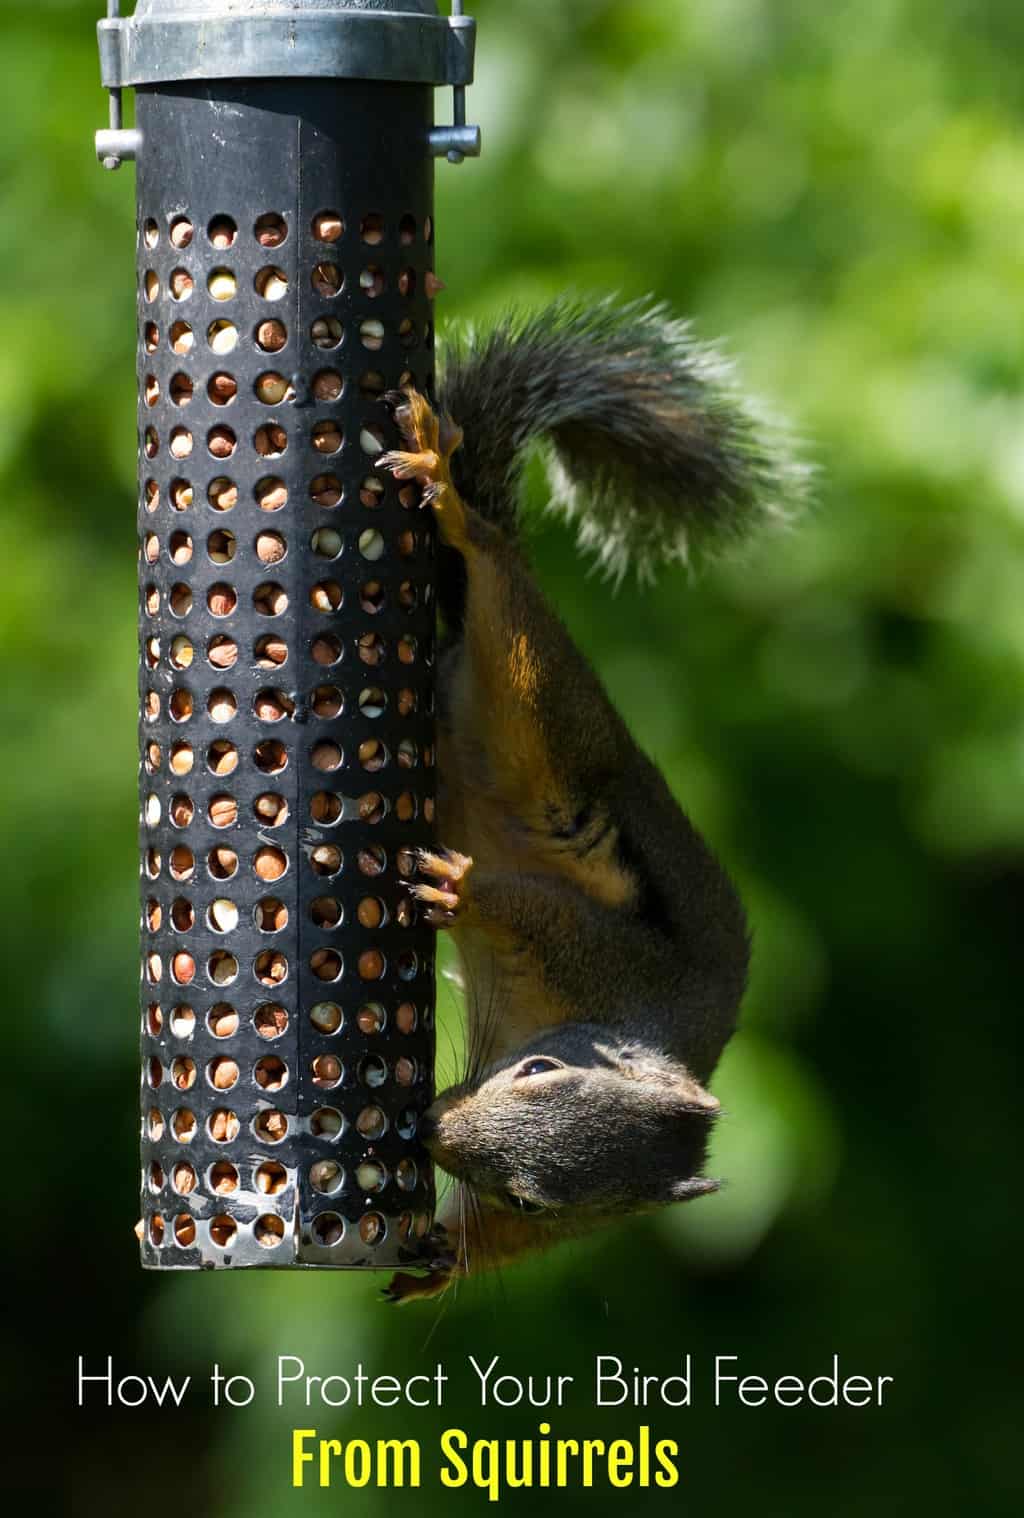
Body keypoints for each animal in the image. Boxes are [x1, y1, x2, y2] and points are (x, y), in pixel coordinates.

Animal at [375, 297, 804, 1304]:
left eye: (530, 1199)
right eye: (535, 1069)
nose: (434, 1132)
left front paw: (447, 1258)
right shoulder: (604, 955)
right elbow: (537, 910)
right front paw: (465, 894)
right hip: (556, 725)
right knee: (505, 603)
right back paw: (451, 499)